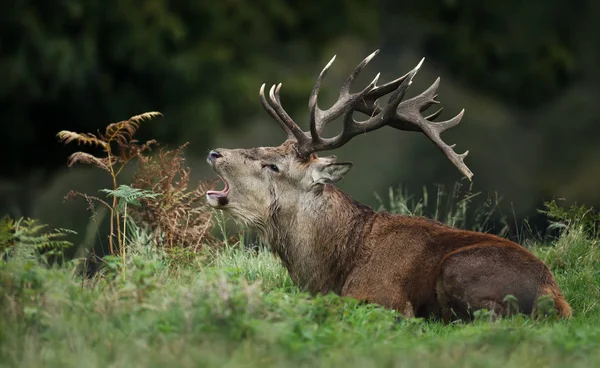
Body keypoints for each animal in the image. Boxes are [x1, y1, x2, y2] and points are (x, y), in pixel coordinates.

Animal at [205, 50, 572, 320]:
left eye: (273, 165)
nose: (215, 152)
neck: (330, 271)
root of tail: (554, 298)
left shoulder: (381, 297)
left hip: (461, 270)